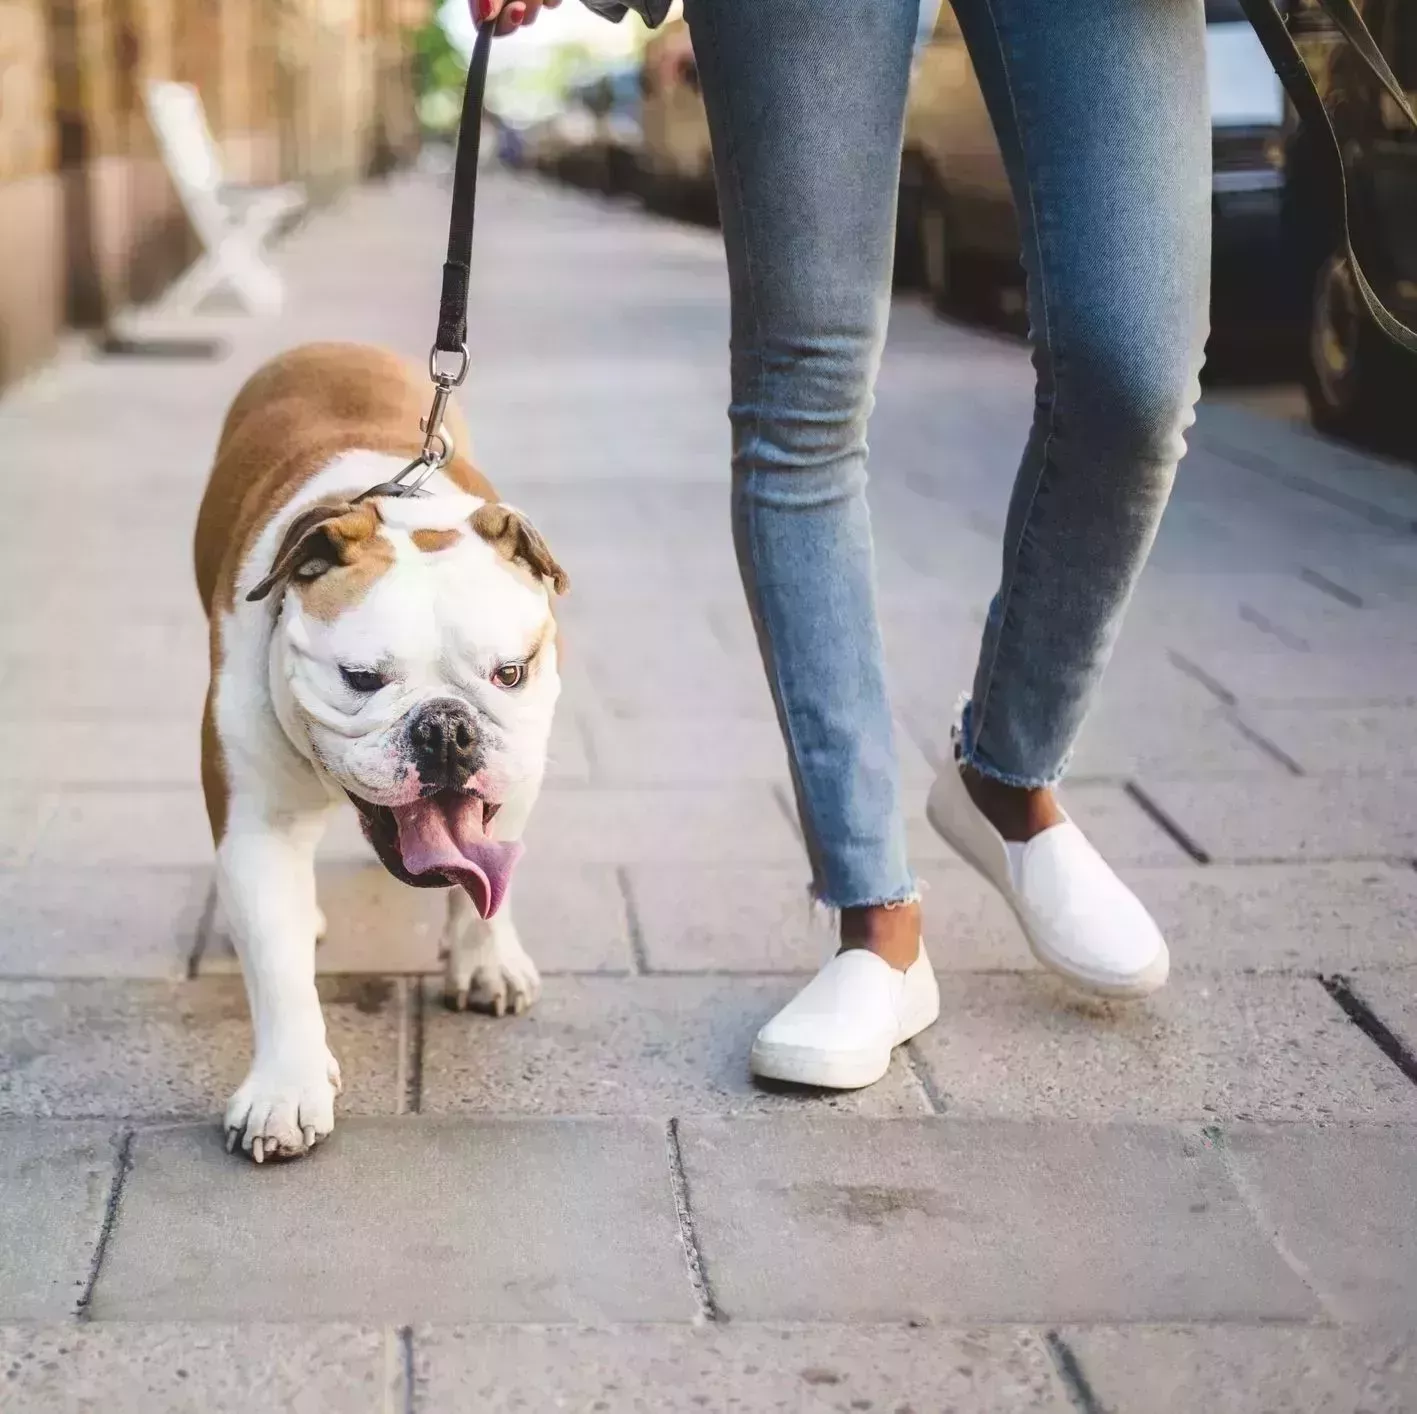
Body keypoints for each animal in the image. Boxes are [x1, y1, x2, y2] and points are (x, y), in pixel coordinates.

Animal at [195, 342, 569, 1161]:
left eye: (510, 673)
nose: (446, 729)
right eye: (361, 679)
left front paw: (486, 962)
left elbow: (490, 884)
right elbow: (277, 964)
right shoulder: (257, 824)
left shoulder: (518, 777)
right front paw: (286, 1088)